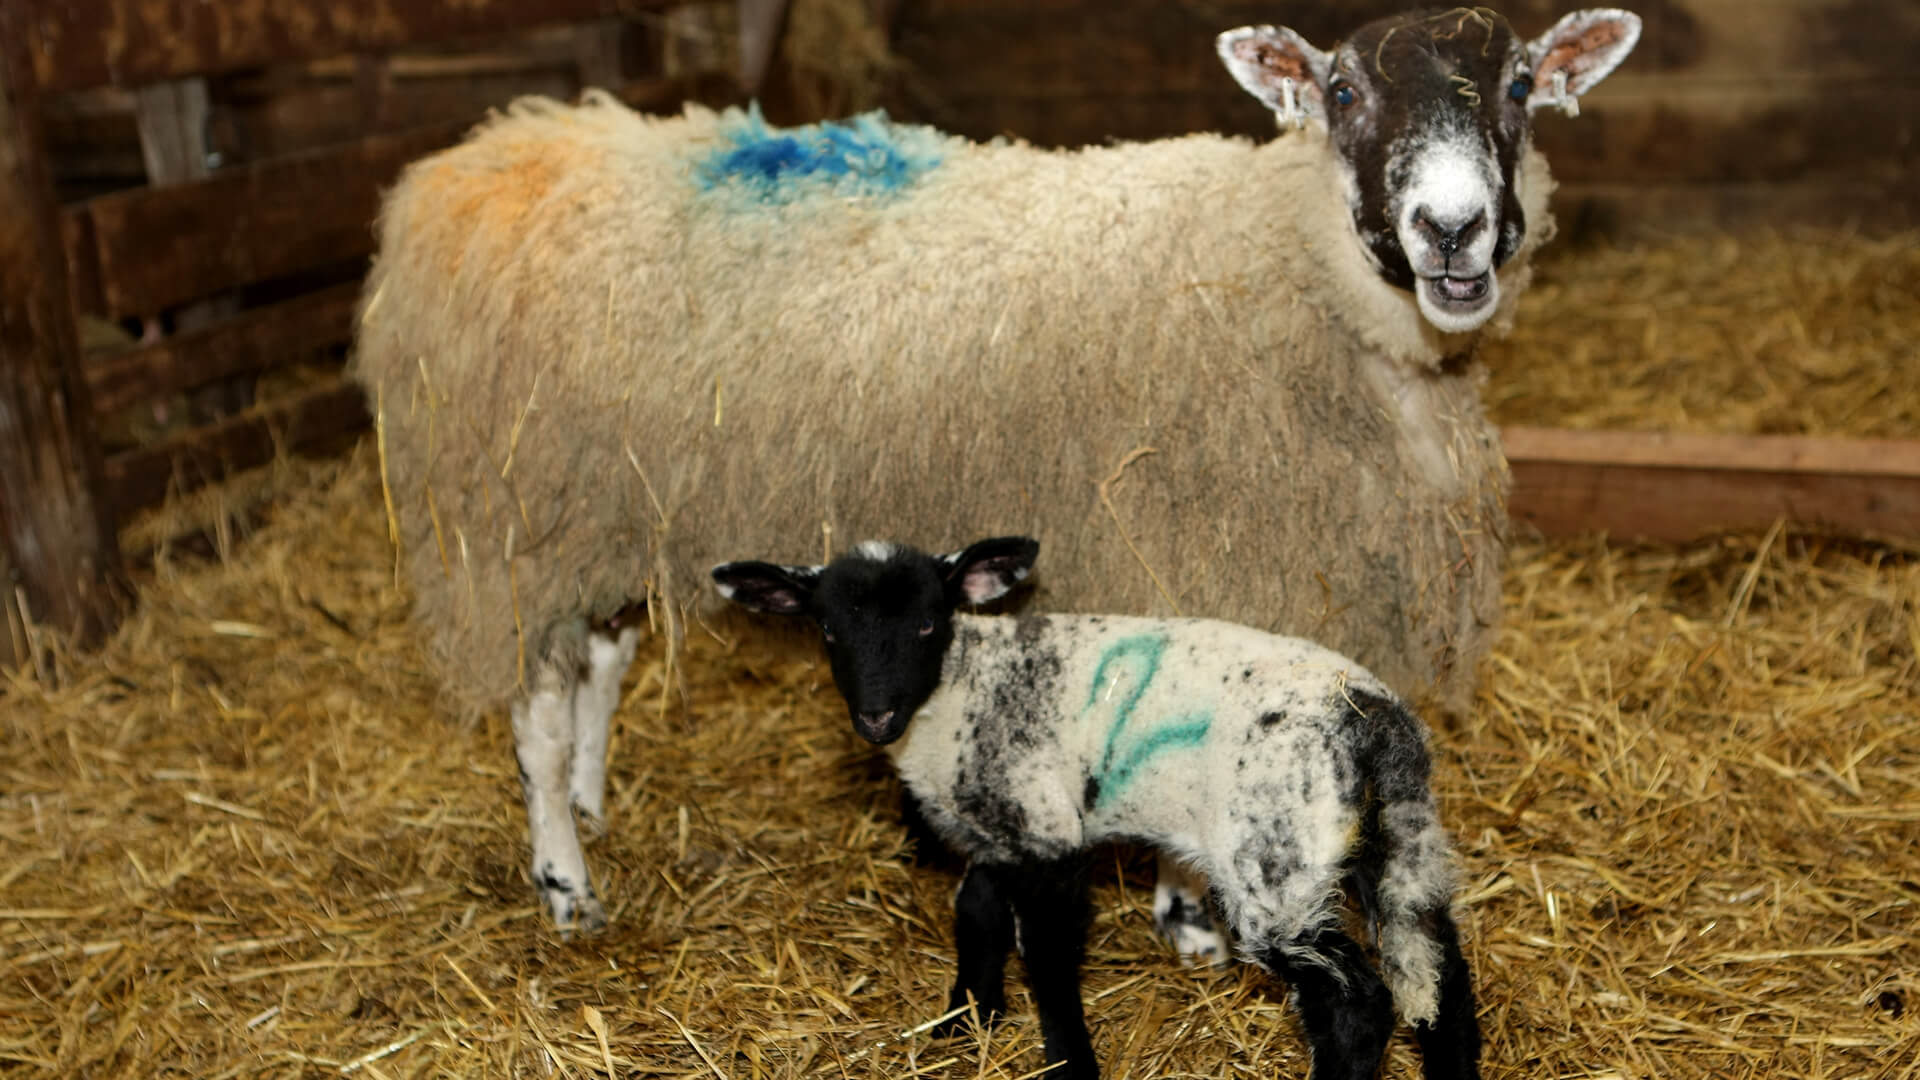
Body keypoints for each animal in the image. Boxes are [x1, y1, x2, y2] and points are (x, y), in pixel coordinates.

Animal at [349, 6, 1635, 933]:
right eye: (1344, 93)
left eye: (1522, 88)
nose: (1453, 231)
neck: (1274, 266)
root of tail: (485, 153)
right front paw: (1193, 921)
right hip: (505, 520)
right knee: (535, 713)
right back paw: (566, 883)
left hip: (604, 510)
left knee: (598, 666)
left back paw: (590, 804)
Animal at [714, 538, 1474, 1076]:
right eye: (828, 631)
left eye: (929, 623)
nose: (876, 716)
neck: (965, 687)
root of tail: (1373, 719)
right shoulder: (1003, 833)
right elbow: (978, 913)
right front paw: (967, 1019)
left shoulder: (1049, 836)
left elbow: (1047, 955)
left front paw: (1067, 1064)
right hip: (1387, 842)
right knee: (1440, 979)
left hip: (1274, 861)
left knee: (1356, 1006)